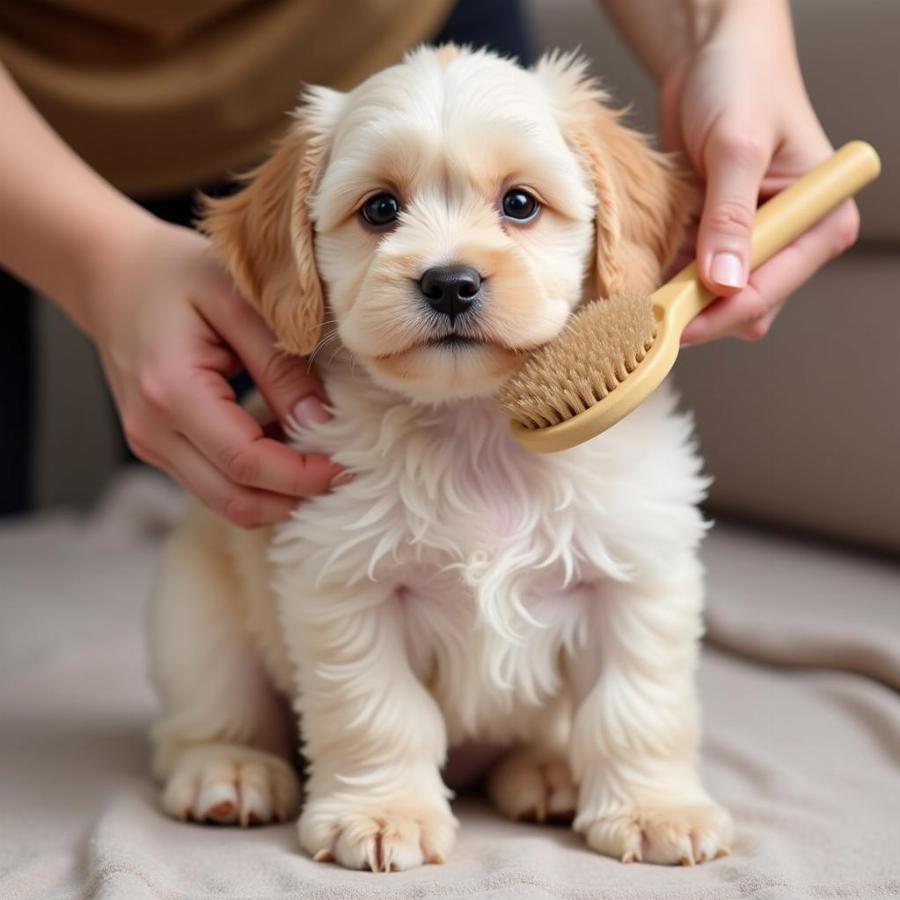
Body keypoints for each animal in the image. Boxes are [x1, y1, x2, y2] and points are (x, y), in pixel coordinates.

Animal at [149, 44, 732, 872]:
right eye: (380, 210)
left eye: (520, 204)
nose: (450, 282)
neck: (476, 426)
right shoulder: (345, 584)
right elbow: (380, 712)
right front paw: (382, 814)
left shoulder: (635, 574)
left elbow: (637, 706)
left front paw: (657, 808)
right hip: (195, 620)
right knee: (202, 721)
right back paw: (227, 770)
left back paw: (546, 772)